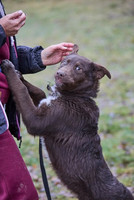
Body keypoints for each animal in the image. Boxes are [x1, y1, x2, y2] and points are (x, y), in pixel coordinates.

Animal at [1, 44, 134, 199]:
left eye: (78, 68)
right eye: (64, 62)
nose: (59, 74)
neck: (76, 96)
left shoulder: (36, 120)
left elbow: (21, 91)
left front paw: (9, 68)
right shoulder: (43, 105)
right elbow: (39, 91)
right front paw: (19, 74)